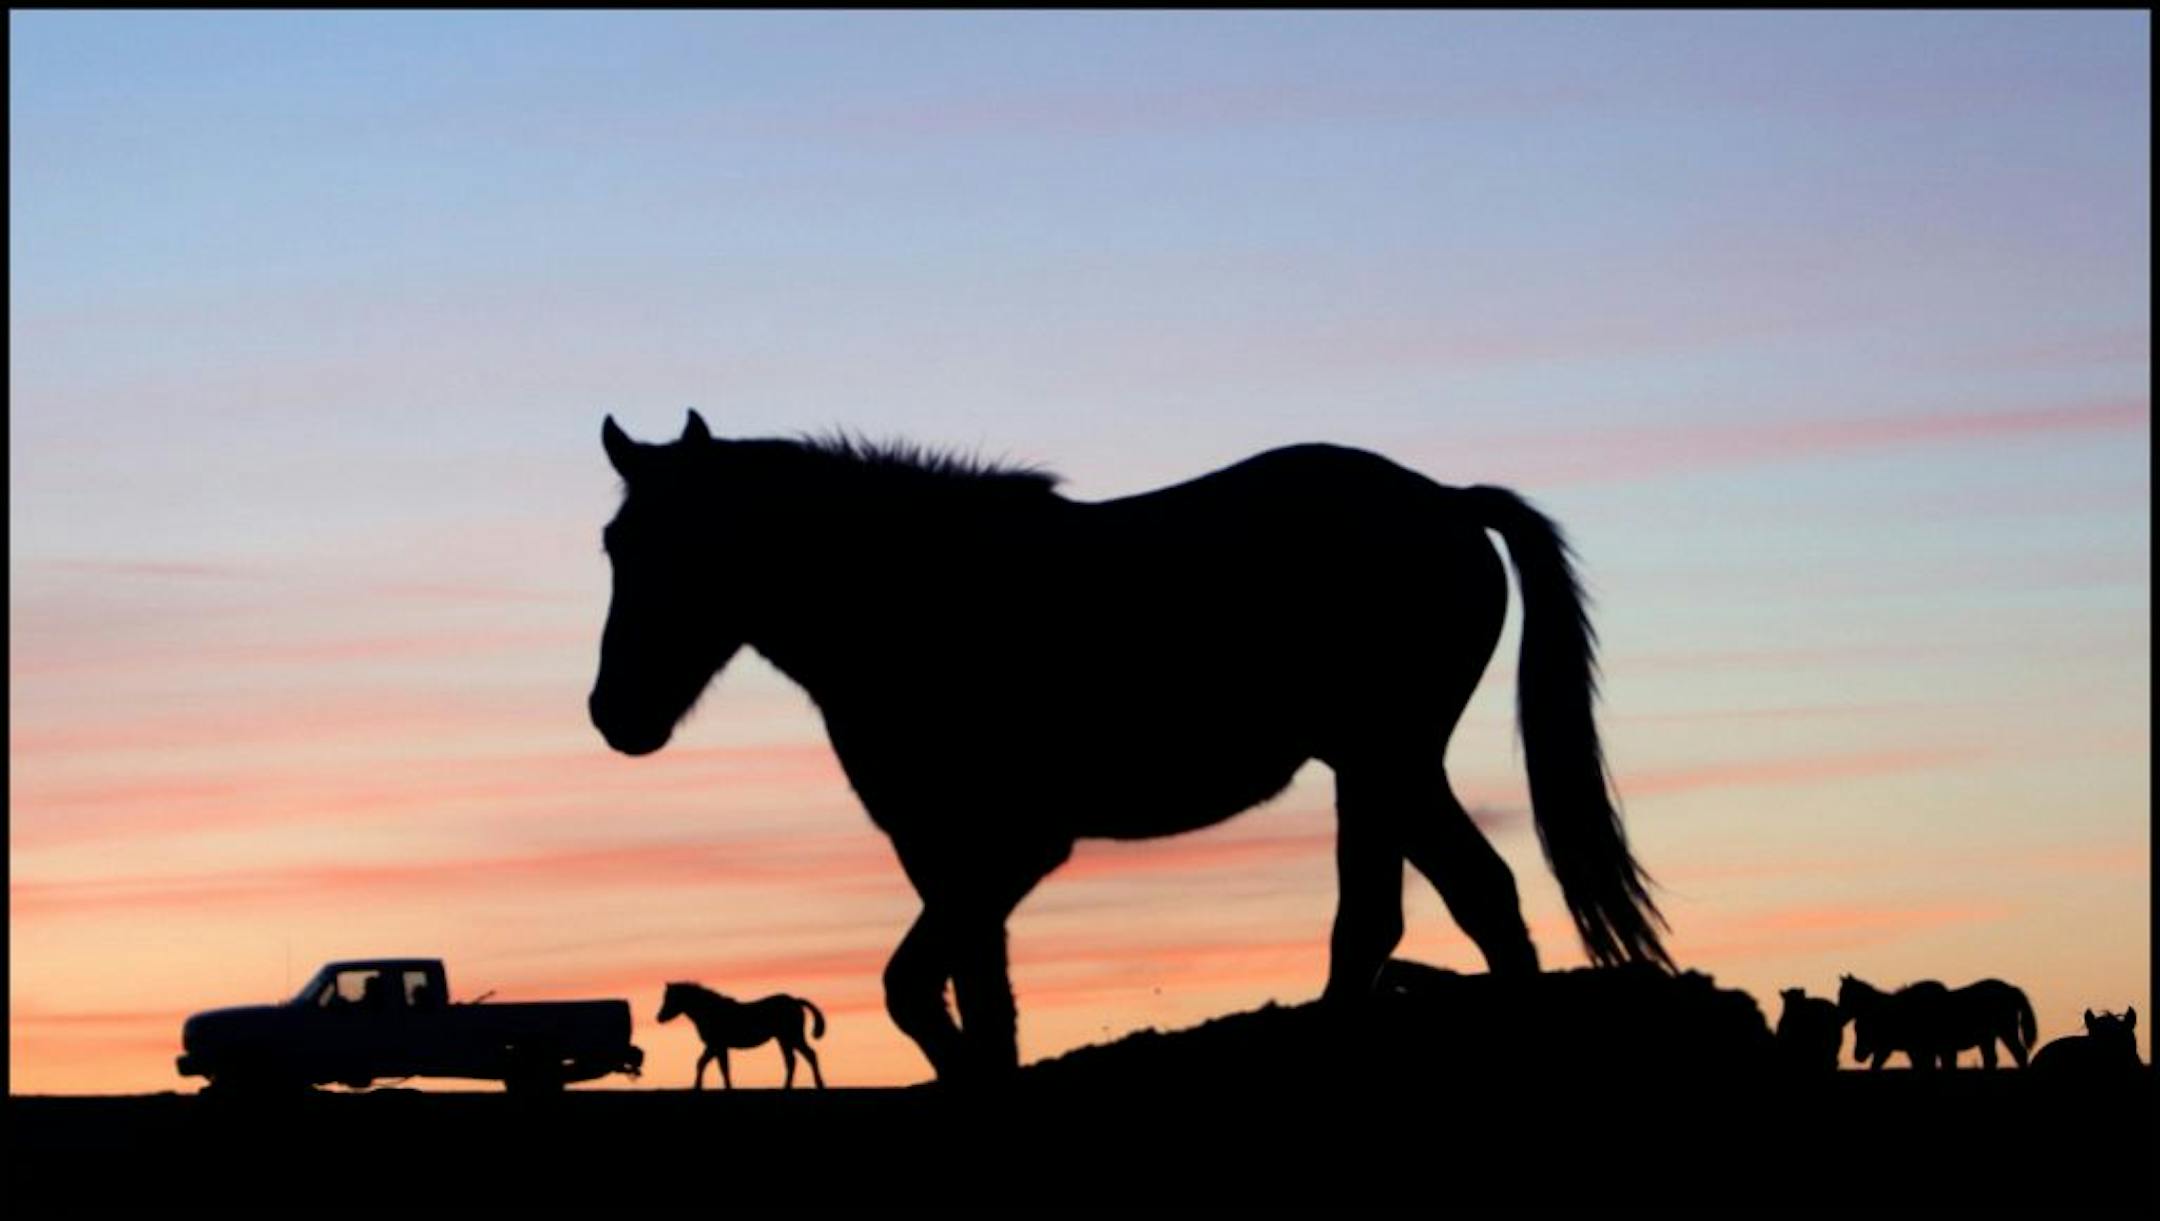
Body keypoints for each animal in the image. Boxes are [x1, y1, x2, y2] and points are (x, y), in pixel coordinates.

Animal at [656, 981, 827, 1090]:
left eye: (669, 998)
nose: (659, 1018)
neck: (711, 1011)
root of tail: (795, 1001)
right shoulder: (717, 1046)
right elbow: (711, 1065)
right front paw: (701, 1087)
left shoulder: (716, 1045)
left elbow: (716, 1066)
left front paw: (701, 1087)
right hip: (784, 1039)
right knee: (792, 1061)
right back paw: (788, 1087)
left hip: (792, 1037)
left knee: (808, 1056)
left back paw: (818, 1085)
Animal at [1839, 976, 2036, 1069]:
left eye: (1845, 996)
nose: (1857, 1056)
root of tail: (2011, 989)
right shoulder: (1925, 1051)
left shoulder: (1928, 1050)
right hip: (1988, 1038)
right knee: (1992, 1059)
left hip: (2006, 1031)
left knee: (2019, 1054)